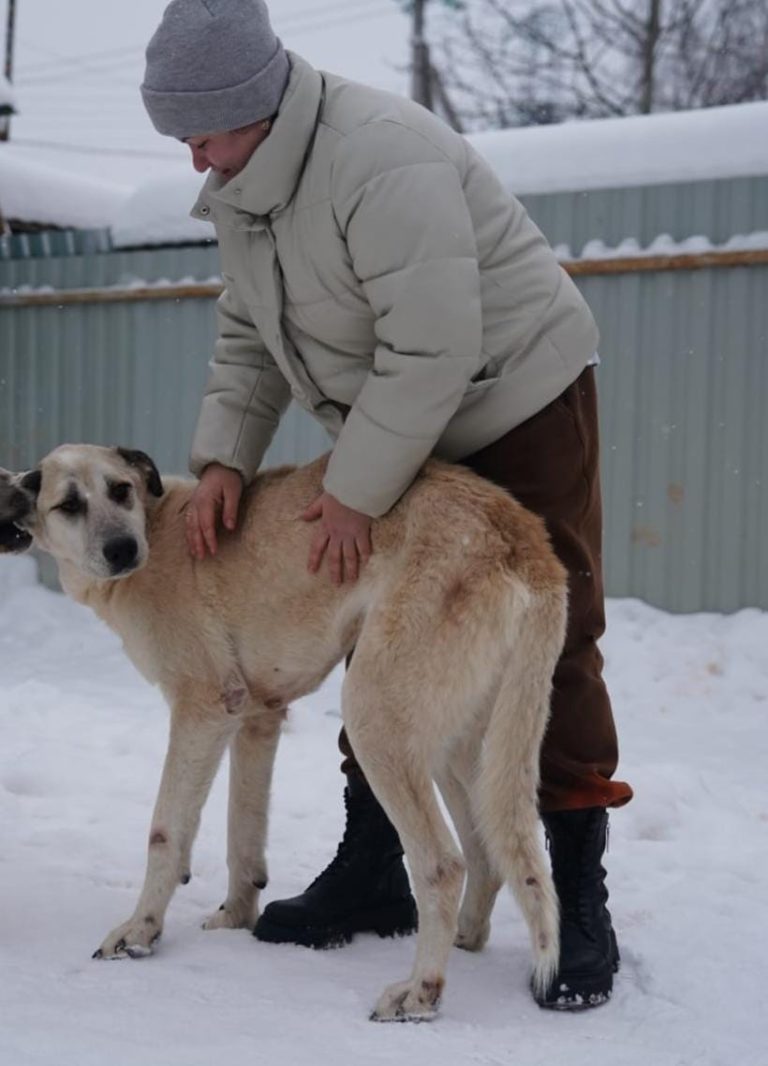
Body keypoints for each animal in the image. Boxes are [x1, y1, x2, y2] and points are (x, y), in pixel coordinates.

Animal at [0, 445, 563, 1019]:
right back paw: (464, 942)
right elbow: (242, 836)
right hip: (456, 746)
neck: (157, 530)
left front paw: (141, 931)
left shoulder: (203, 710)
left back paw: (420, 991)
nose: (122, 550)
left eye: (120, 490)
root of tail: (522, 537)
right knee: (487, 854)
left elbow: (166, 832)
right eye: (69, 504)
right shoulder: (256, 719)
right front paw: (235, 918)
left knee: (445, 866)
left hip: (375, 718)